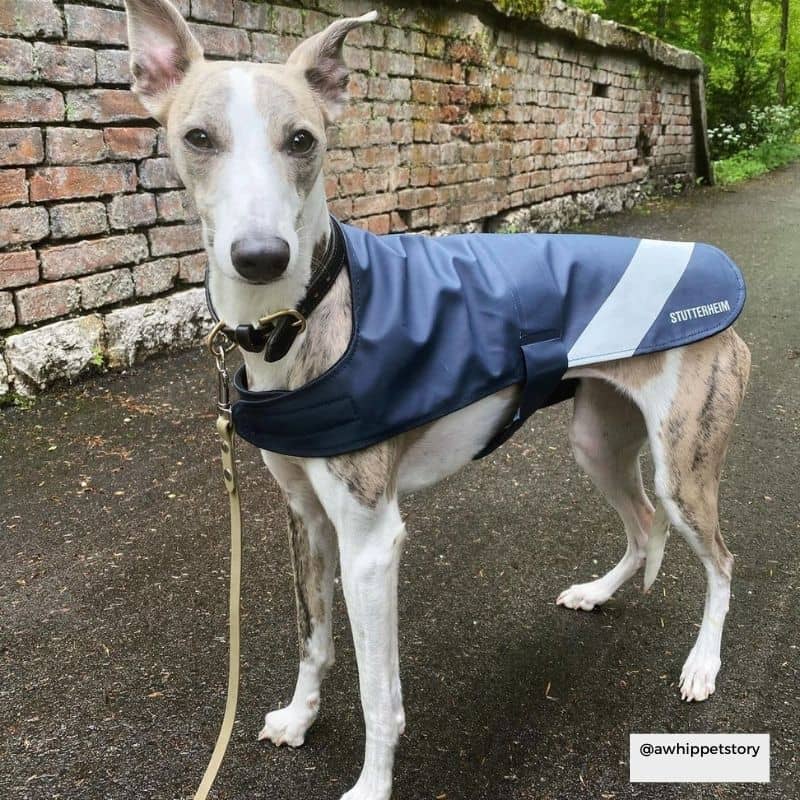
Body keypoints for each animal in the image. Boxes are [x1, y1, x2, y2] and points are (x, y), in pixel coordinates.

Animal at [123, 3, 752, 796]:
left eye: (302, 140)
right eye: (198, 138)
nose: (260, 257)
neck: (310, 311)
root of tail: (721, 274)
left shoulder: (371, 542)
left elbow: (377, 691)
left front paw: (371, 784)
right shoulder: (307, 518)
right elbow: (313, 639)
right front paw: (300, 718)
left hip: (684, 465)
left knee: (720, 561)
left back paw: (703, 664)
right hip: (599, 444)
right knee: (644, 526)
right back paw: (598, 593)